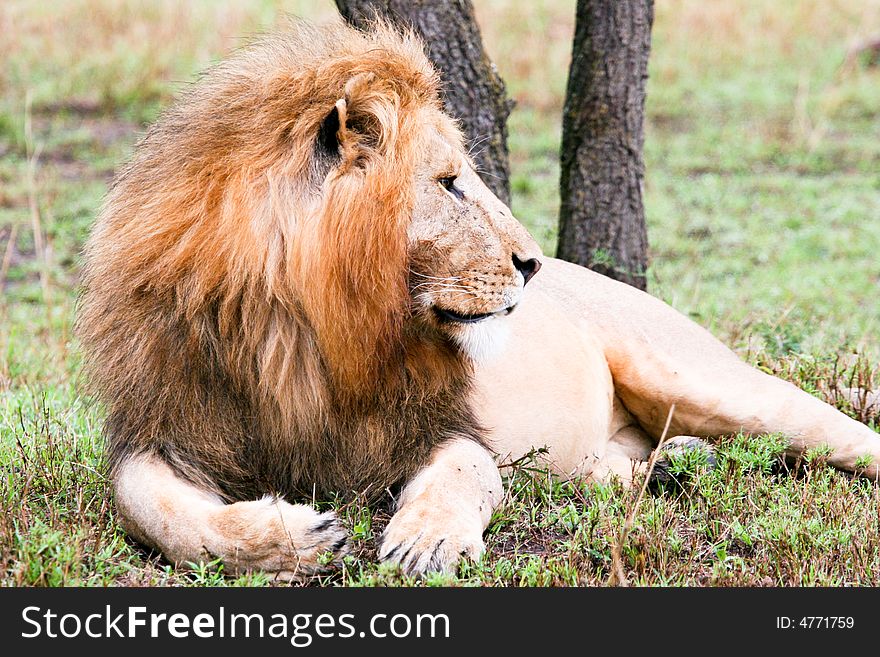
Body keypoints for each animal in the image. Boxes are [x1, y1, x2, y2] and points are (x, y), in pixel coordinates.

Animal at [77, 18, 880, 576]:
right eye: (450, 184)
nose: (533, 263)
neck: (304, 326)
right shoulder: (166, 424)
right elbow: (150, 507)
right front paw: (289, 538)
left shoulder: (441, 421)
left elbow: (466, 472)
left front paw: (426, 541)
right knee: (632, 462)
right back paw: (676, 464)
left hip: (704, 379)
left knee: (836, 431)